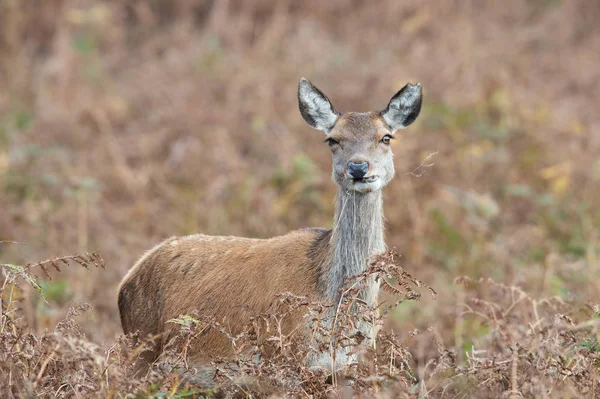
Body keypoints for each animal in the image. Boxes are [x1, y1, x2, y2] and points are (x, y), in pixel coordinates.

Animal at [117, 77, 422, 378]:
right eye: (333, 139)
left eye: (386, 137)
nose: (358, 167)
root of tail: (126, 280)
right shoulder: (285, 360)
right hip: (140, 351)